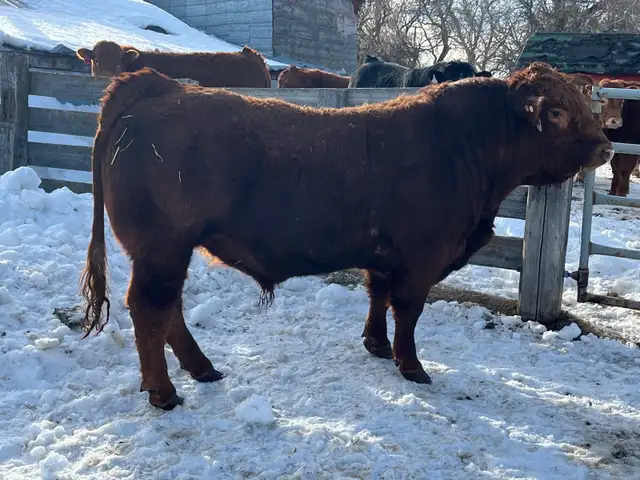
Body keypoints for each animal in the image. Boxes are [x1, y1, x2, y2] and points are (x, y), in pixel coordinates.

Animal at [80, 62, 613, 410]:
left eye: (583, 105)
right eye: (557, 113)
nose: (606, 147)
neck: (465, 146)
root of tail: (158, 87)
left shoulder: (383, 254)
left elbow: (378, 296)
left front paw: (375, 345)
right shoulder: (421, 260)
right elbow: (408, 312)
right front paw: (411, 366)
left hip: (169, 250)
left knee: (167, 309)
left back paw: (202, 368)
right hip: (162, 247)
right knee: (150, 309)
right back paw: (164, 391)